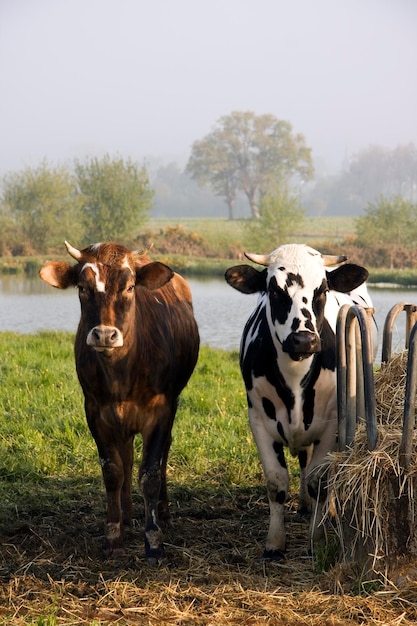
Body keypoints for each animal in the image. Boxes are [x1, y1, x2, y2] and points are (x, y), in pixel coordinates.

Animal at [39, 240, 199, 560]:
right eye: (83, 288)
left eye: (130, 287)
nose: (104, 334)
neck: (120, 372)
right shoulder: (95, 410)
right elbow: (113, 470)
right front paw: (114, 534)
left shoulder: (161, 411)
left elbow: (150, 474)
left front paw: (153, 540)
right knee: (126, 458)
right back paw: (126, 514)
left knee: (164, 452)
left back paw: (162, 511)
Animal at [226, 241, 372, 560]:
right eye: (274, 291)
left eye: (322, 290)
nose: (304, 339)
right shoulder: (259, 421)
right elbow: (276, 481)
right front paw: (274, 543)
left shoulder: (331, 425)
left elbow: (320, 481)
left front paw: (315, 541)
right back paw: (304, 505)